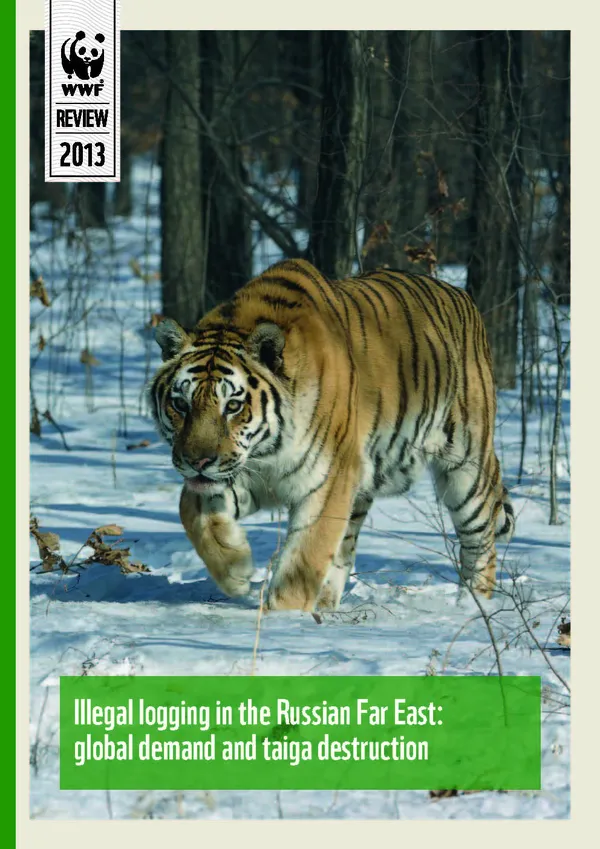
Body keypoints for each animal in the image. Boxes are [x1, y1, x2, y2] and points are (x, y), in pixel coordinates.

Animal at [149, 258, 515, 612]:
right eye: (180, 404)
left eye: (234, 406)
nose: (197, 462)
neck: (268, 451)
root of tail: (461, 294)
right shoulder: (248, 475)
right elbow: (191, 509)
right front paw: (237, 570)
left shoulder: (327, 480)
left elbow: (303, 560)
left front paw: (285, 618)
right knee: (346, 548)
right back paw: (326, 606)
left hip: (466, 468)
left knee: (481, 541)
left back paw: (471, 606)